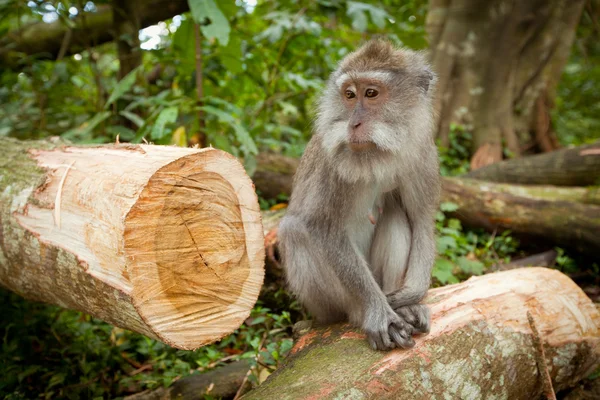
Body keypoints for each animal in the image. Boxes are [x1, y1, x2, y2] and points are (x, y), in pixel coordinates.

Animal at [278, 38, 440, 350]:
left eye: (371, 93)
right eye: (350, 95)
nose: (353, 124)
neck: (377, 152)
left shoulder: (422, 154)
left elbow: (421, 220)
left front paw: (411, 294)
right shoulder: (332, 165)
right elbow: (324, 228)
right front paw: (378, 312)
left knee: (395, 214)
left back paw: (403, 307)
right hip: (323, 303)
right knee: (293, 229)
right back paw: (361, 312)